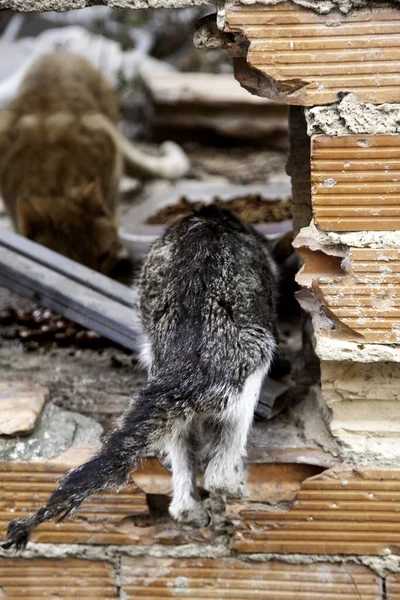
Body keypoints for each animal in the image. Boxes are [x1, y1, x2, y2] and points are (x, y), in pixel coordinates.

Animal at [2, 206, 278, 548]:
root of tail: (183, 369)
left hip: (161, 385)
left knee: (180, 470)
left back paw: (191, 511)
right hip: (250, 367)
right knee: (219, 473)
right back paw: (237, 486)